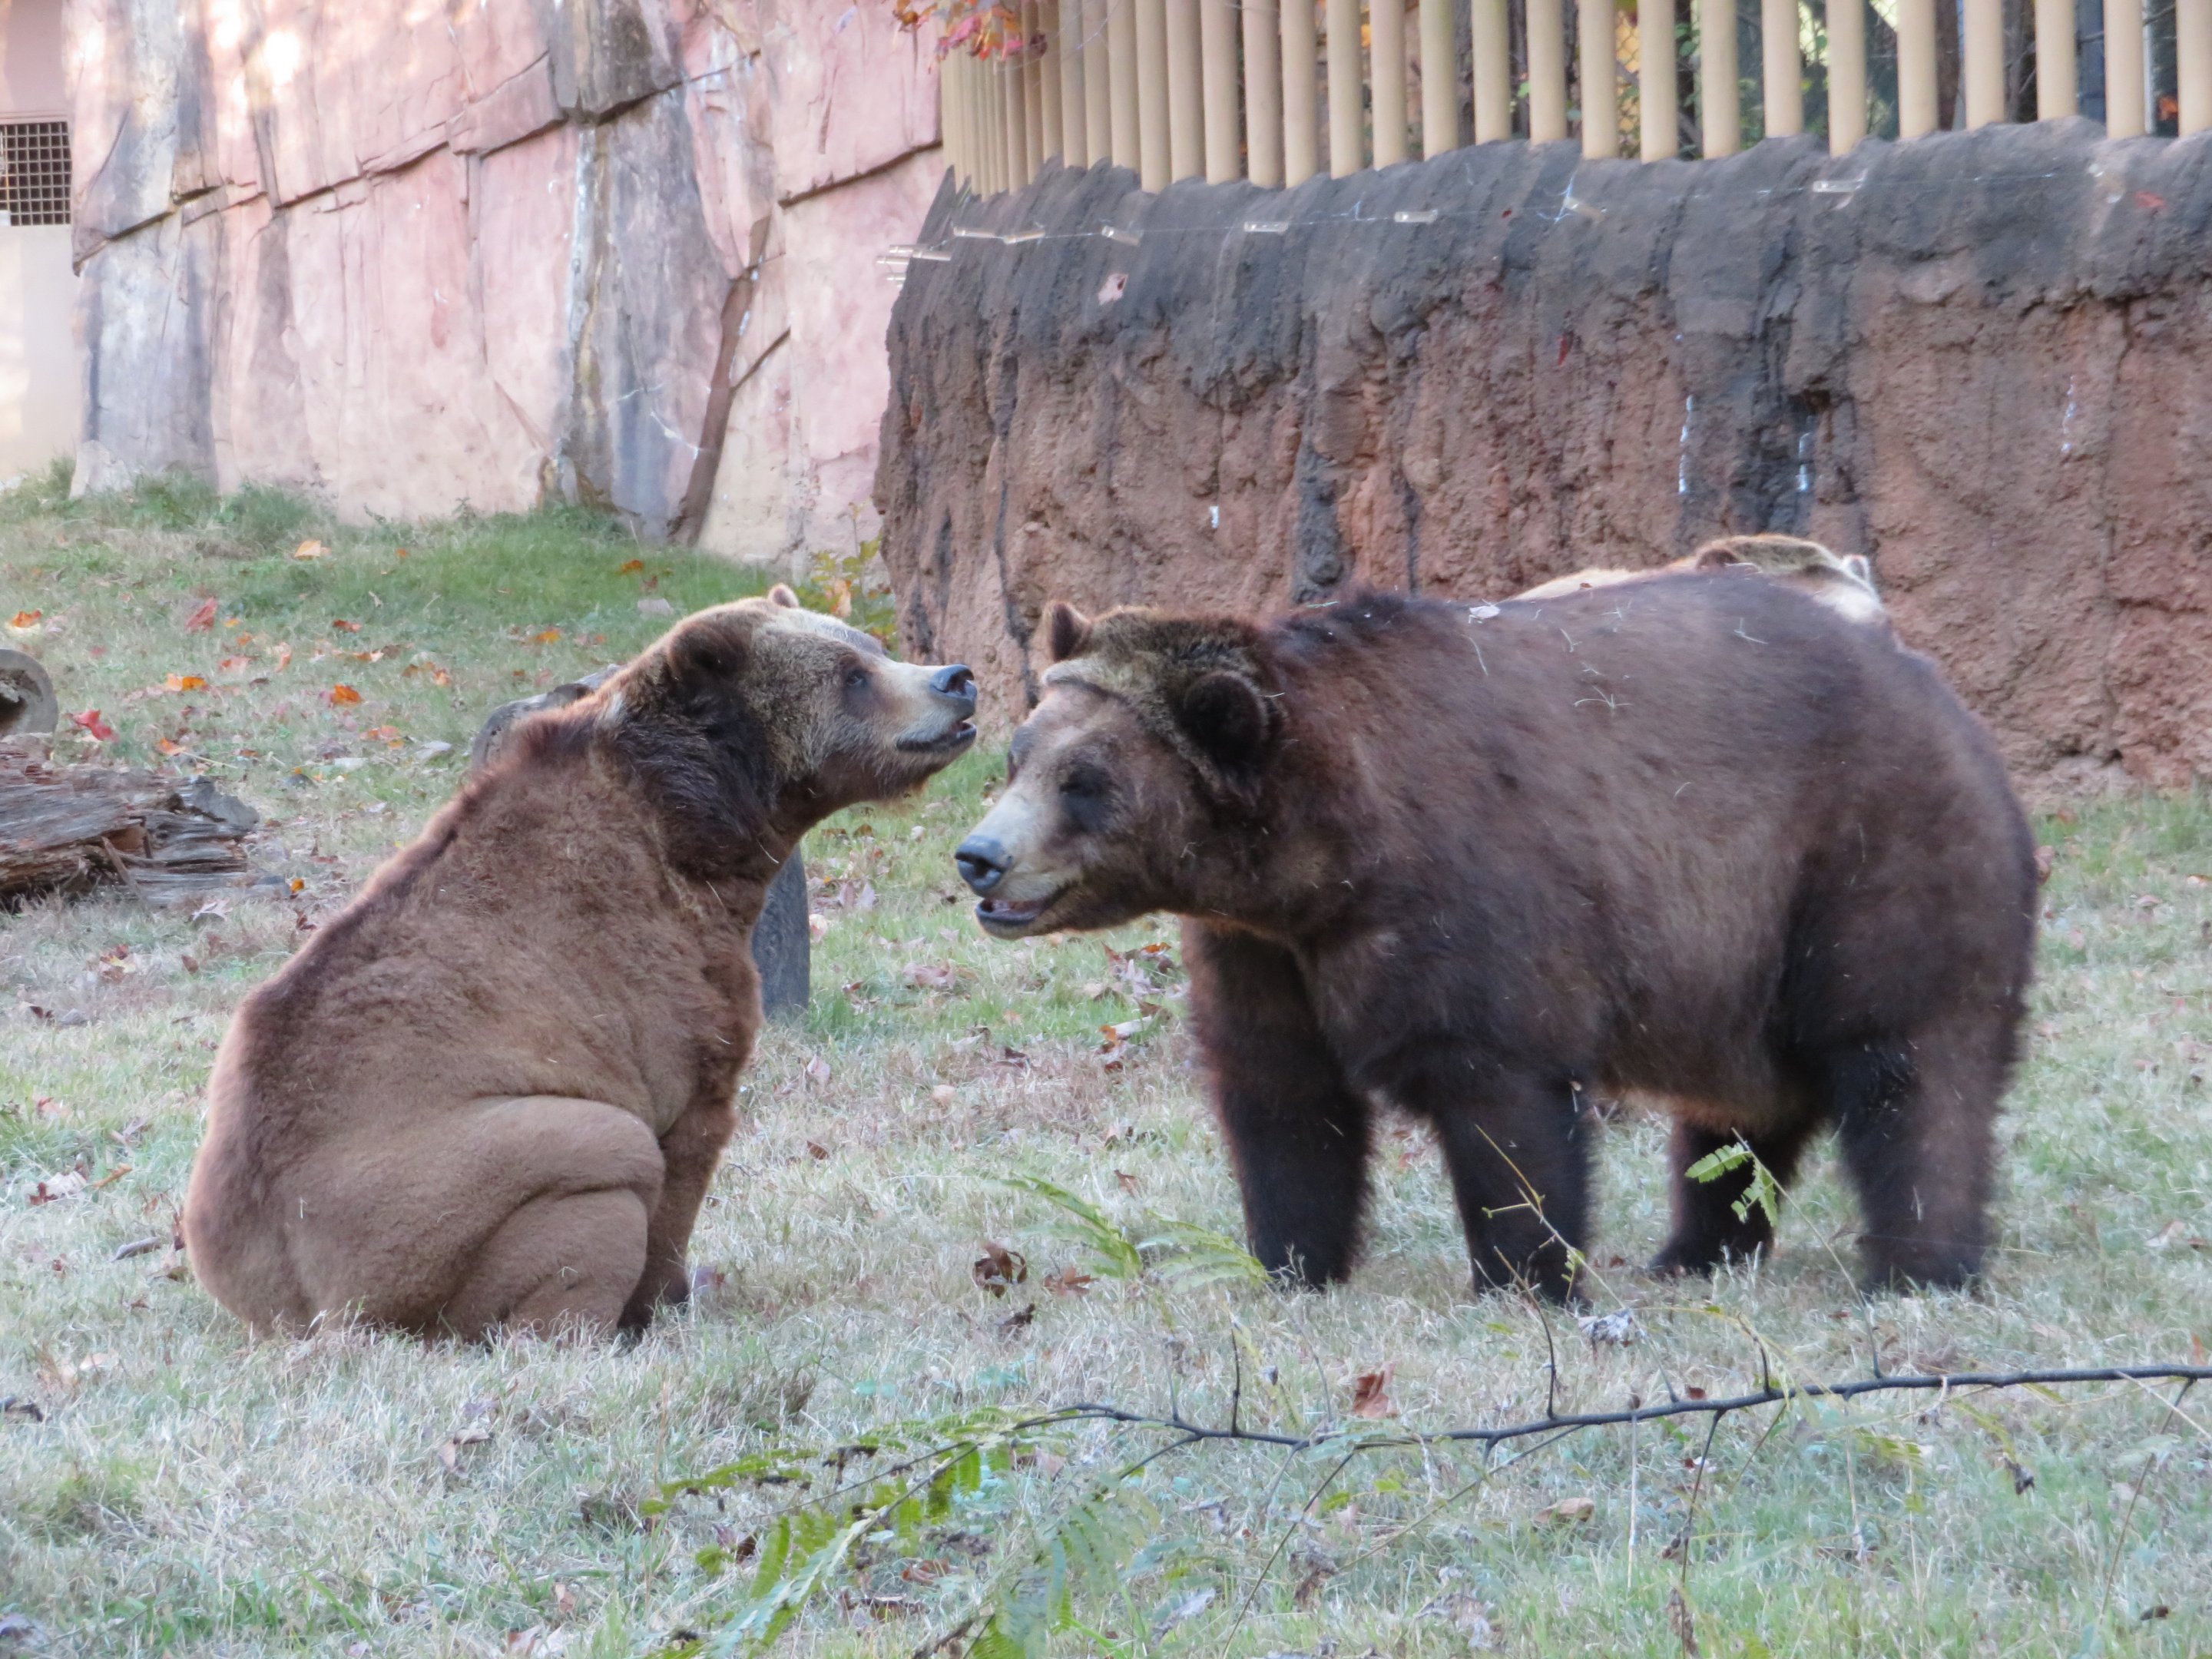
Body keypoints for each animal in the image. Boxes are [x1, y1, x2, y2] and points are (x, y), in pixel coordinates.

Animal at [183, 588, 978, 1339]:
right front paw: (667, 1298)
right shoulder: (661, 977)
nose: (957, 678)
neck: (696, 826)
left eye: (872, 647)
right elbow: (685, 1146)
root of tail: (297, 1304)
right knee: (602, 1163)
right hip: (425, 1203)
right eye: (852, 675)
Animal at [953, 575, 2035, 1300]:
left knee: (1910, 1065)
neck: (1324, 857)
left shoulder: (1470, 901)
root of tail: (1948, 703)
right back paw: (1694, 1251)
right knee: (1736, 1114)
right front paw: (1292, 1261)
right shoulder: (1265, 952)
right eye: (1020, 753)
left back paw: (1919, 1265)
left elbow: (1500, 1097)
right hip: (1741, 957)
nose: (979, 859)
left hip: (1863, 856)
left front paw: (1524, 1276)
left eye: (1086, 781)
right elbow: (1283, 1101)